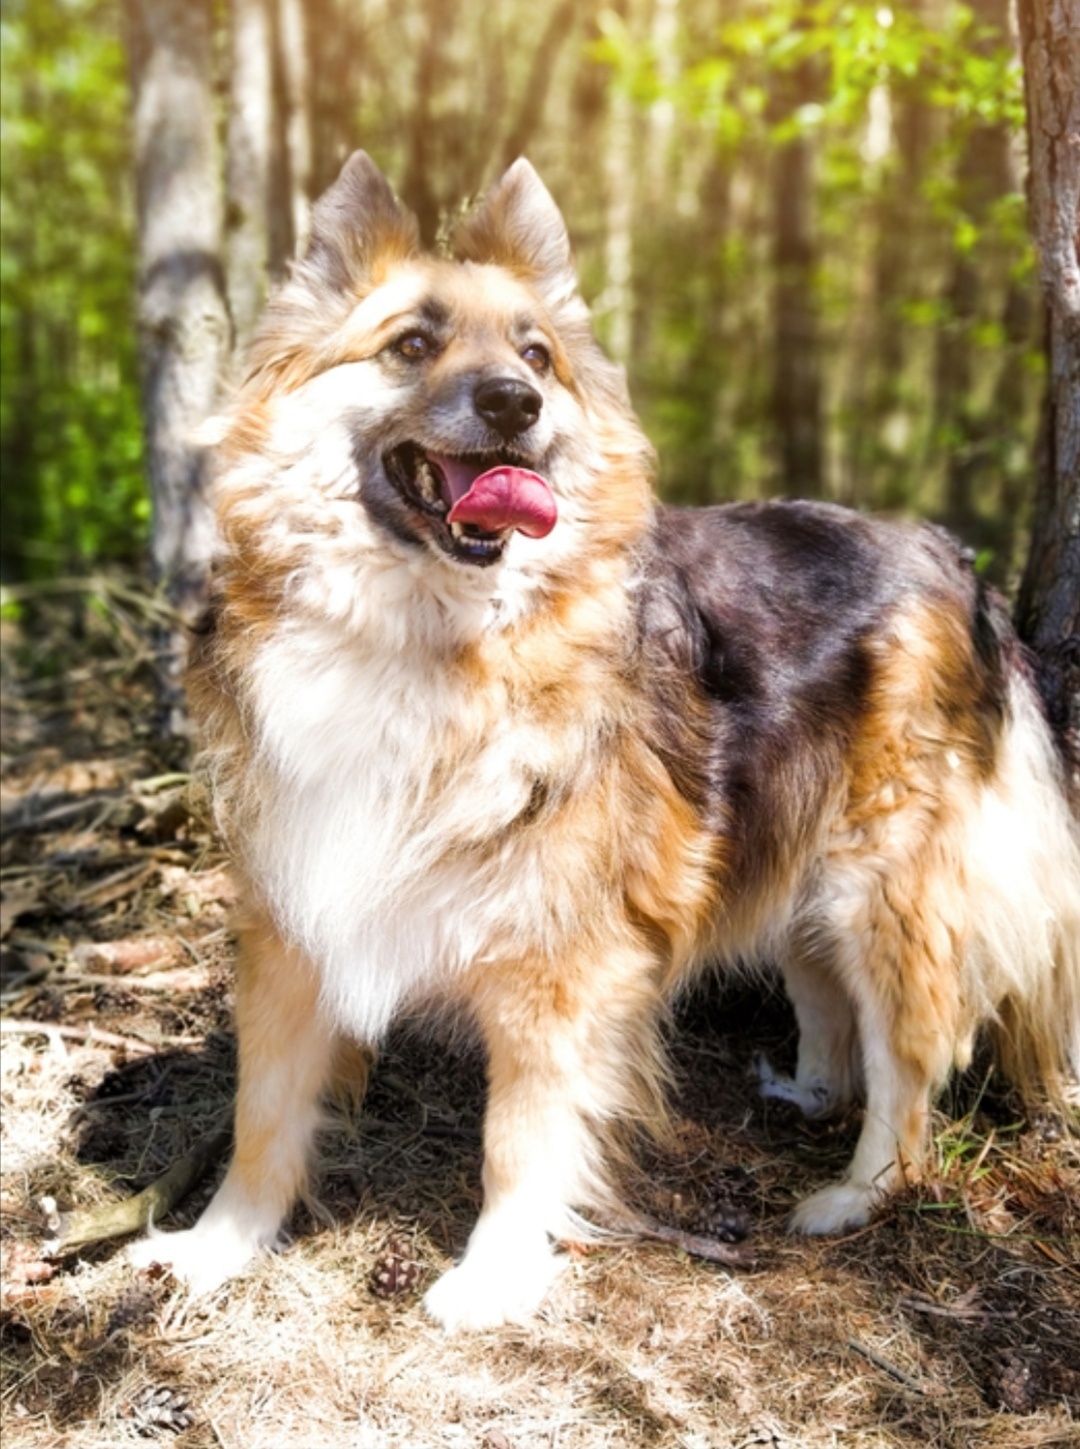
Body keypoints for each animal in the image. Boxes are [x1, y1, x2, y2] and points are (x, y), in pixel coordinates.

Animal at [130, 152, 1078, 1327]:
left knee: (910, 1055)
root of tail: (952, 557)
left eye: (535, 354)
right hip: (790, 847)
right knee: (825, 992)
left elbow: (516, 1139)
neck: (428, 637)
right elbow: (262, 1111)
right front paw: (219, 1245)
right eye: (411, 345)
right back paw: (808, 1086)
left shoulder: (561, 963)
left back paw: (856, 1193)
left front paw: (492, 1273)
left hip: (885, 882)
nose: (516, 403)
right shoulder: (296, 912)